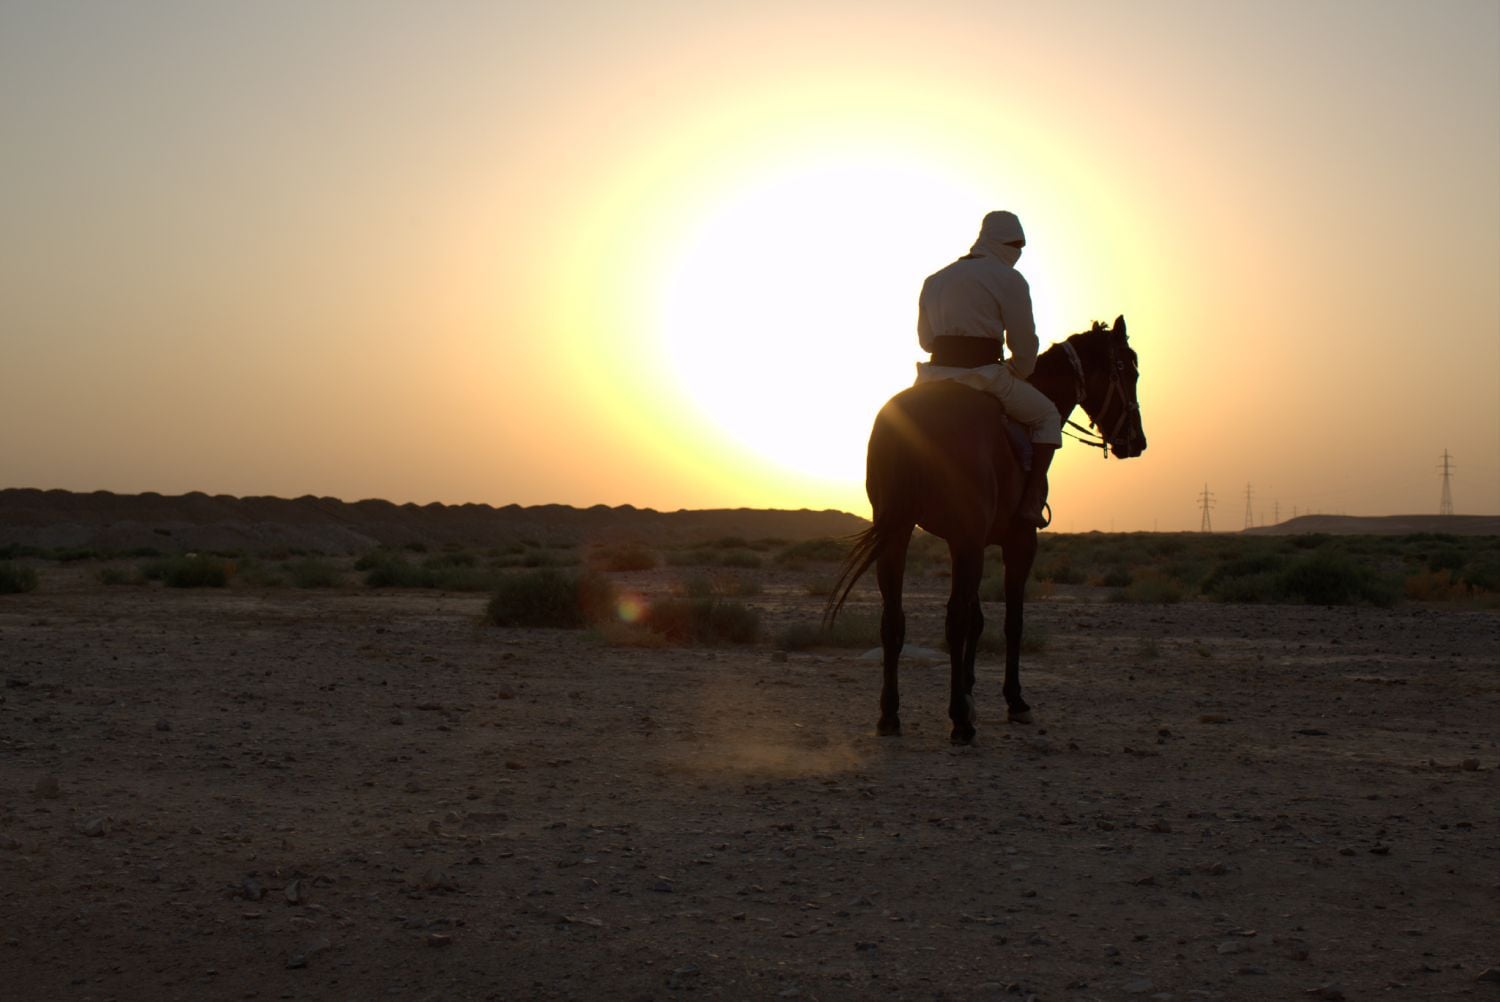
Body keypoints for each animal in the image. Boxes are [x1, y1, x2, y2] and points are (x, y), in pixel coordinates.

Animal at [828, 313, 1140, 744]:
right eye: (1128, 370)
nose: (1137, 441)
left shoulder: (967, 541)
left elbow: (977, 619)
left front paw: (970, 690)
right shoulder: (1015, 542)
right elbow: (1011, 622)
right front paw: (1013, 700)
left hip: (900, 534)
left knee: (894, 619)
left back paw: (890, 715)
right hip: (963, 540)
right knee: (954, 621)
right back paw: (959, 720)